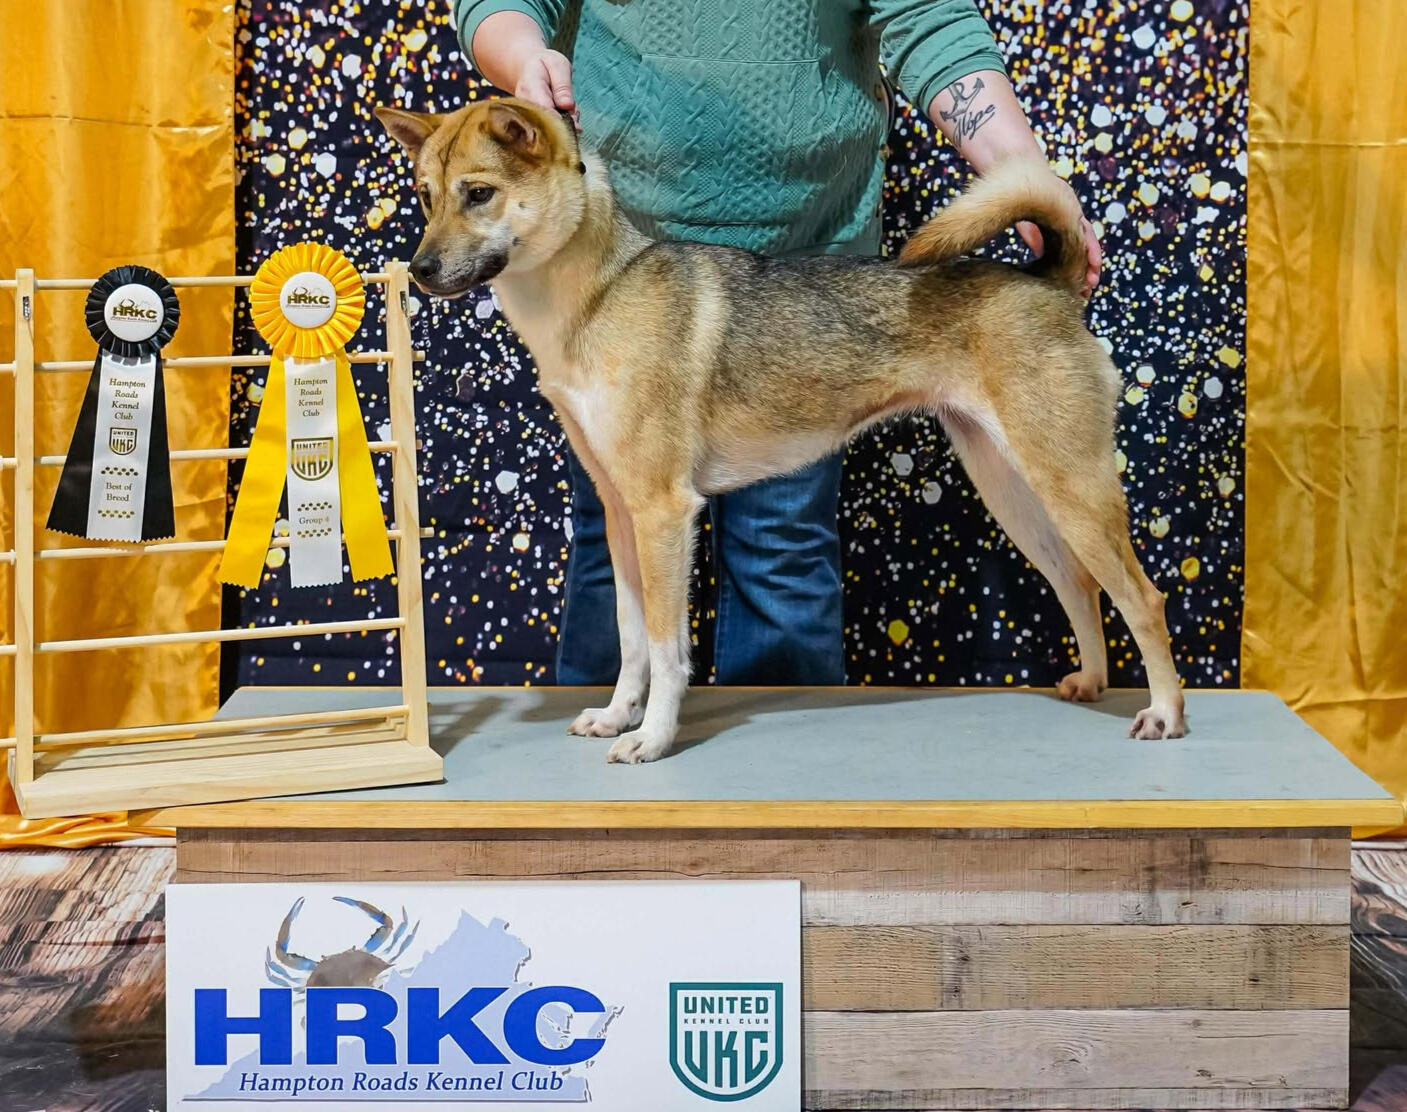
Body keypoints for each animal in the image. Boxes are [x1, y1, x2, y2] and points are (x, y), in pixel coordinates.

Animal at [375, 97, 1187, 763]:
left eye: (478, 193)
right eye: (424, 197)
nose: (418, 269)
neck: (597, 294)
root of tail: (1047, 279)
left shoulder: (665, 511)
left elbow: (668, 650)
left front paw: (652, 739)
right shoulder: (620, 513)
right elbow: (633, 641)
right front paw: (614, 717)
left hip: (1069, 484)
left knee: (1143, 599)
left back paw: (1164, 716)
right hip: (1015, 490)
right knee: (1081, 585)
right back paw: (1090, 683)